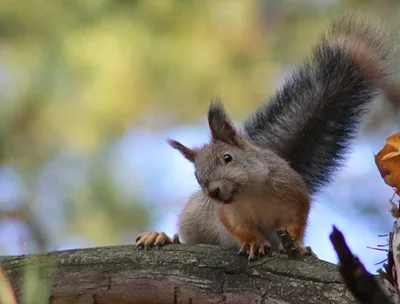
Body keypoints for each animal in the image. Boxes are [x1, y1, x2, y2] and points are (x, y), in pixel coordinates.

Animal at [136, 14, 392, 262]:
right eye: (197, 177)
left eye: (228, 158)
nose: (213, 192)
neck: (251, 194)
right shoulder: (229, 214)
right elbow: (242, 230)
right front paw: (254, 242)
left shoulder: (295, 195)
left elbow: (296, 223)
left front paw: (299, 246)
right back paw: (161, 237)